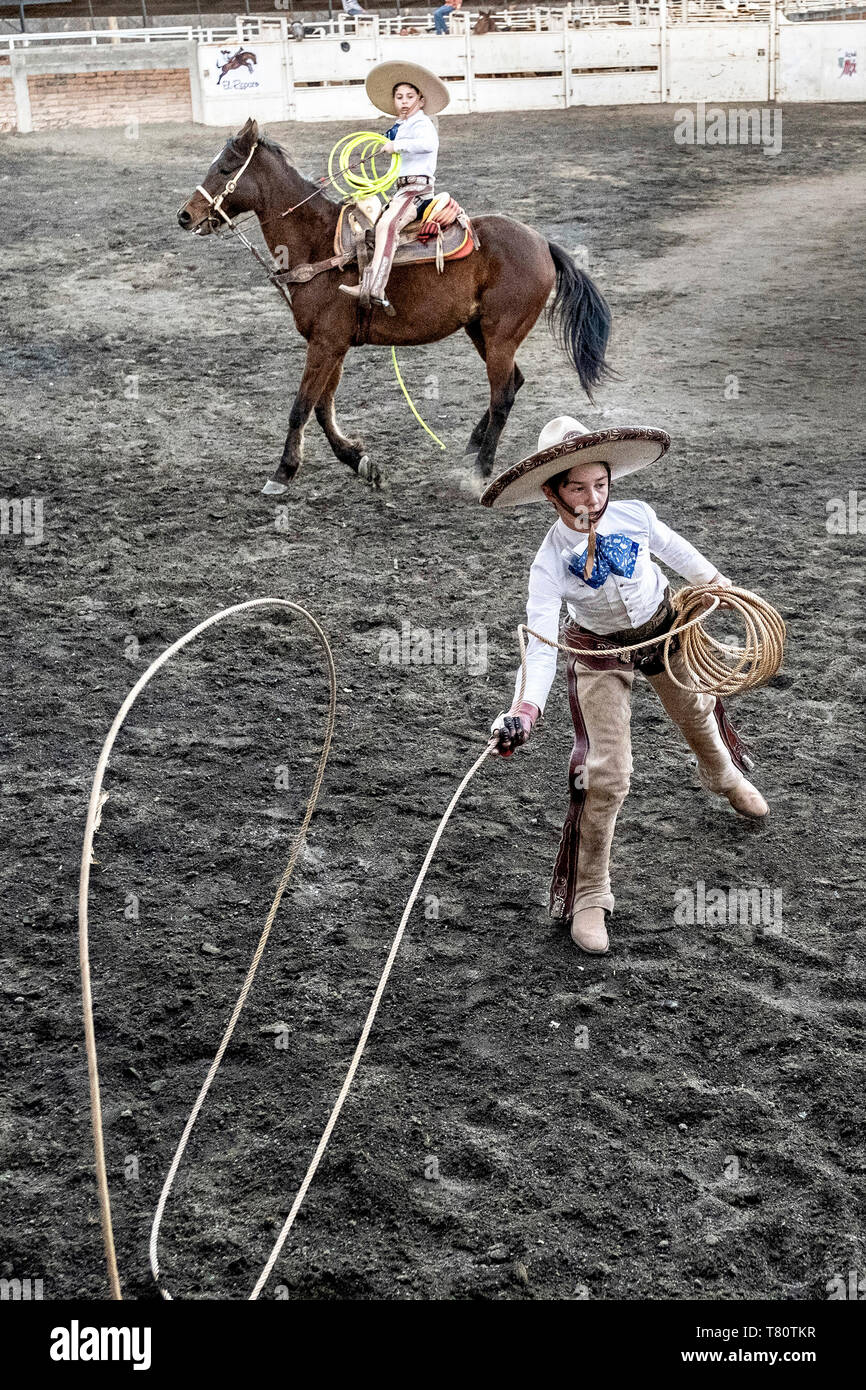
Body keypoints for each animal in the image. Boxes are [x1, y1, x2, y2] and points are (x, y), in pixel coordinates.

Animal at [177, 119, 608, 497]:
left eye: (225, 167)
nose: (185, 215)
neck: (318, 244)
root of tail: (542, 243)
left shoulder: (325, 344)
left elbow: (301, 407)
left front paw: (283, 473)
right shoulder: (333, 345)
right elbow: (323, 408)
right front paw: (361, 463)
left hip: (501, 335)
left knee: (502, 395)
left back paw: (481, 472)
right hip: (480, 331)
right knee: (513, 383)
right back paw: (472, 445)